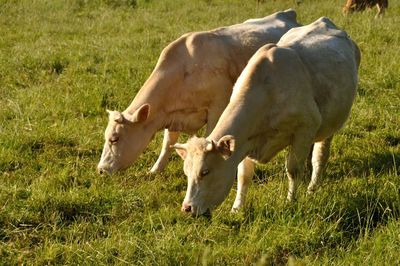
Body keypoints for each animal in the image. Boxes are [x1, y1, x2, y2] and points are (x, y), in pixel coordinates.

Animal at [95, 9, 298, 175]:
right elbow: (168, 143)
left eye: (114, 139)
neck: (186, 70)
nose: (101, 170)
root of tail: (287, 13)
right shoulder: (172, 116)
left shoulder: (217, 107)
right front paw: (155, 170)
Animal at [173, 16, 360, 216]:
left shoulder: (305, 128)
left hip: (330, 125)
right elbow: (243, 176)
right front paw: (237, 208)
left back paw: (312, 188)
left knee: (319, 156)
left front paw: (291, 201)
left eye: (205, 172)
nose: (187, 207)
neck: (267, 91)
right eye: (186, 172)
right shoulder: (245, 141)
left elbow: (293, 170)